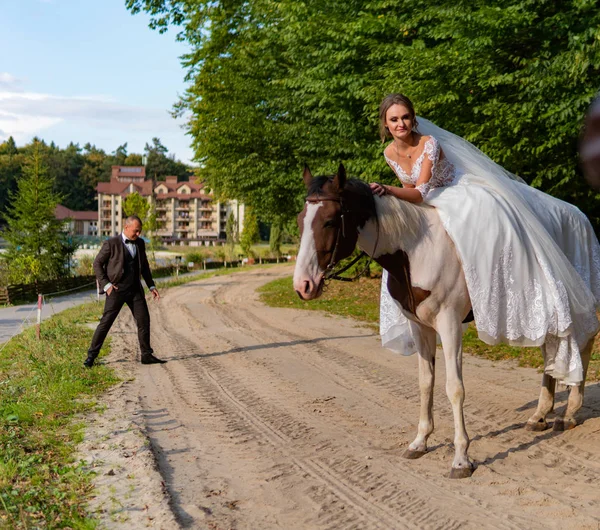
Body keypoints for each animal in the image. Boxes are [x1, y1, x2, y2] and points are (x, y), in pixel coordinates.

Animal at [294, 163, 596, 476]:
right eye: (301, 220)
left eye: (330, 221)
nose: (303, 285)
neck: (415, 249)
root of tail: (580, 216)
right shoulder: (420, 327)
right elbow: (426, 381)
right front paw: (420, 442)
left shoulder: (449, 324)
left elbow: (455, 387)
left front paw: (461, 457)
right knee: (551, 349)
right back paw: (540, 415)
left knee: (583, 344)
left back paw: (569, 413)